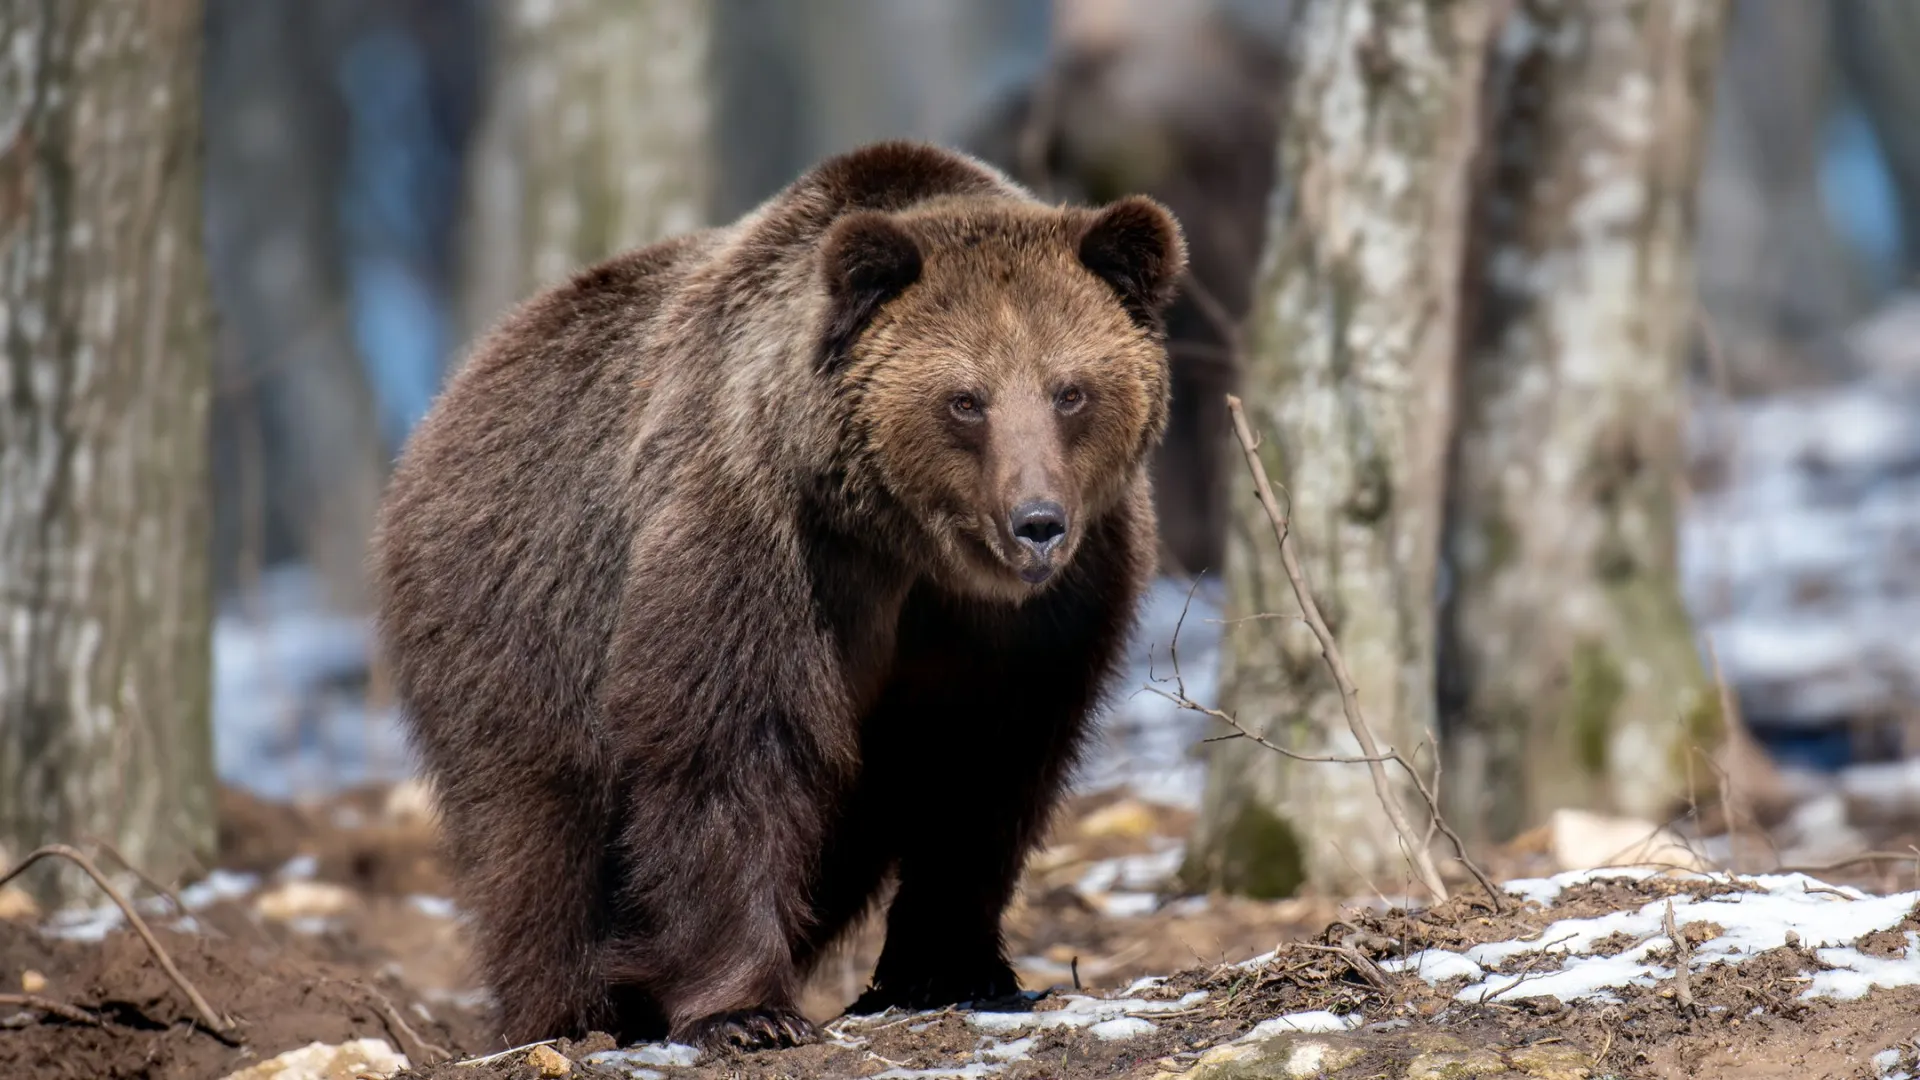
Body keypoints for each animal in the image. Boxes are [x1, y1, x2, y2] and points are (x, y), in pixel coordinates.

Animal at [366, 138, 1182, 1045]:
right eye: (965, 400)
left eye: (1070, 390)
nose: (1036, 522)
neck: (908, 546)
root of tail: (451, 395)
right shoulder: (765, 538)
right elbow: (730, 743)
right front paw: (746, 1009)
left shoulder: (1045, 613)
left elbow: (989, 768)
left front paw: (953, 967)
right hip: (523, 607)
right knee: (539, 830)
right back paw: (569, 1009)